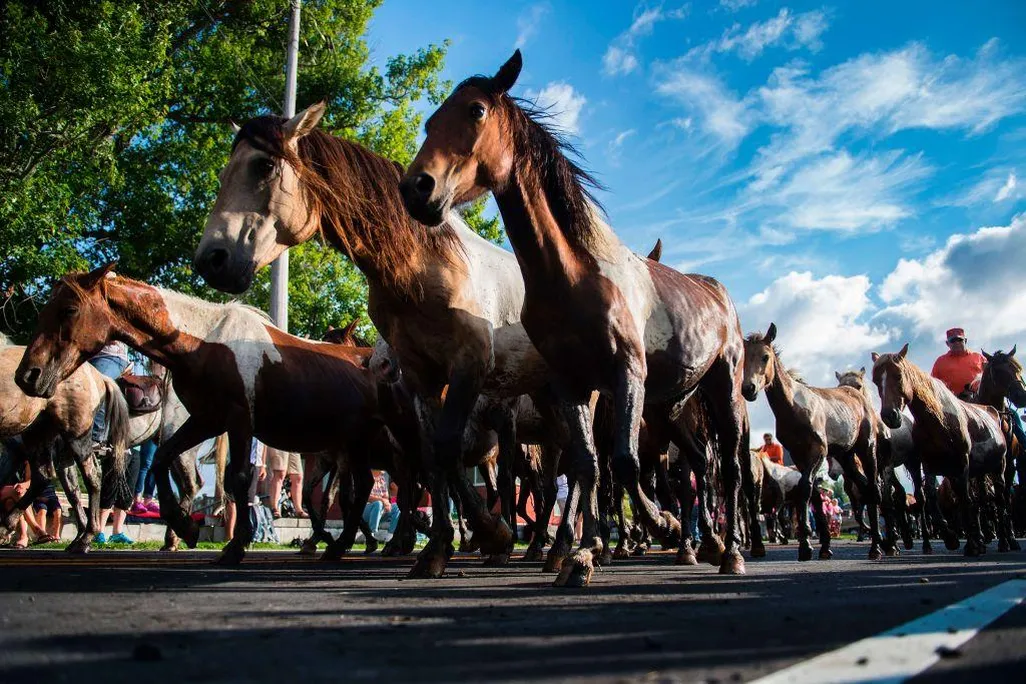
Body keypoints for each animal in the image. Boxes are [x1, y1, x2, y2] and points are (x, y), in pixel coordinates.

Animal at [1, 344, 131, 552]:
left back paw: (86, 538)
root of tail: (98, 376)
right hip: (38, 434)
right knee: (47, 478)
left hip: (74, 434)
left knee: (92, 478)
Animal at [16, 266, 393, 565]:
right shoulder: (206, 419)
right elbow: (162, 459)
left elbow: (238, 479)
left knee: (358, 490)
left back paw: (344, 544)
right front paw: (185, 525)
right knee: (360, 488)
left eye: (69, 308)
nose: (28, 376)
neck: (206, 343)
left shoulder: (240, 420)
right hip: (354, 446)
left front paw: (234, 546)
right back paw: (341, 544)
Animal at [399, 50, 752, 584]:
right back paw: (707, 543)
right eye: (429, 121)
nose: (417, 188)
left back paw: (728, 551)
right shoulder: (572, 384)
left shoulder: (627, 374)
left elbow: (623, 465)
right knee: (698, 462)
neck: (575, 274)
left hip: (723, 385)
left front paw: (662, 527)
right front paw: (583, 556)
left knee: (725, 467)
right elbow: (587, 467)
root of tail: (717, 291)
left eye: (476, 110)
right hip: (672, 406)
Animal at [743, 323, 884, 561]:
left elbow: (806, 487)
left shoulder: (818, 450)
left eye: (765, 356)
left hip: (866, 448)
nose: (748, 389)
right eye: (743, 358)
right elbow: (815, 496)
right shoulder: (798, 454)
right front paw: (823, 546)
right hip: (845, 456)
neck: (794, 408)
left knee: (873, 488)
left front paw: (805, 543)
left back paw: (878, 547)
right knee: (863, 487)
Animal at [871, 343, 1015, 555]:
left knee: (999, 499)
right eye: (875, 381)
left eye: (898, 375)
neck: (938, 421)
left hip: (999, 466)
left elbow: (964, 499)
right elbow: (932, 499)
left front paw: (972, 544)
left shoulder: (962, 463)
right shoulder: (931, 464)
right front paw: (951, 538)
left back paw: (1005, 540)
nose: (890, 416)